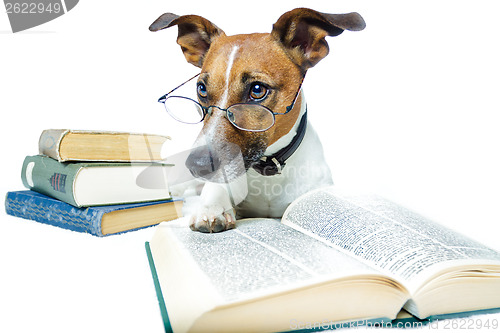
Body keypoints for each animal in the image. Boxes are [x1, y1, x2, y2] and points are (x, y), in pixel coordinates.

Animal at [150, 7, 366, 231]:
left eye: (257, 90)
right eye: (201, 89)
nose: (197, 165)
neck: (267, 172)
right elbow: (216, 191)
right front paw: (212, 208)